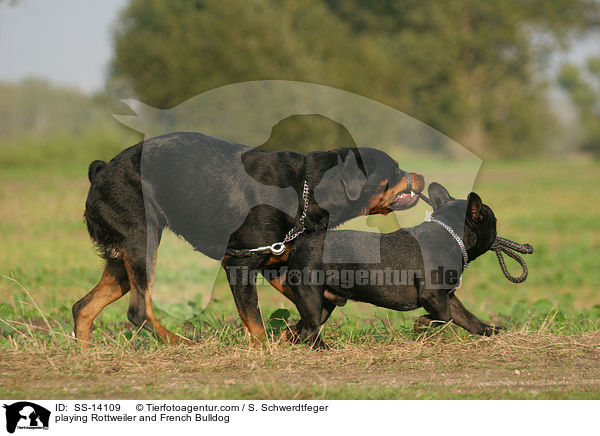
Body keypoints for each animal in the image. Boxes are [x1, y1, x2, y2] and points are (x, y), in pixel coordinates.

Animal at [72, 131, 424, 346]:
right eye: (394, 170)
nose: (419, 175)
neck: (307, 188)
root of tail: (100, 171)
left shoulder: (276, 262)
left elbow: (315, 307)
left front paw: (294, 337)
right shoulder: (239, 263)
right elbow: (254, 319)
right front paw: (266, 348)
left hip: (122, 260)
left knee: (83, 307)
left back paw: (86, 357)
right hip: (142, 240)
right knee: (138, 311)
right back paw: (182, 344)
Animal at [284, 181, 504, 348]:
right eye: (494, 221)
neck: (452, 235)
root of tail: (300, 244)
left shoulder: (447, 297)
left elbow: (465, 317)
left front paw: (490, 330)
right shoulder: (433, 295)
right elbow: (444, 315)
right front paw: (422, 323)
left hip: (324, 303)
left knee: (299, 328)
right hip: (311, 295)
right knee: (310, 329)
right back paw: (324, 349)